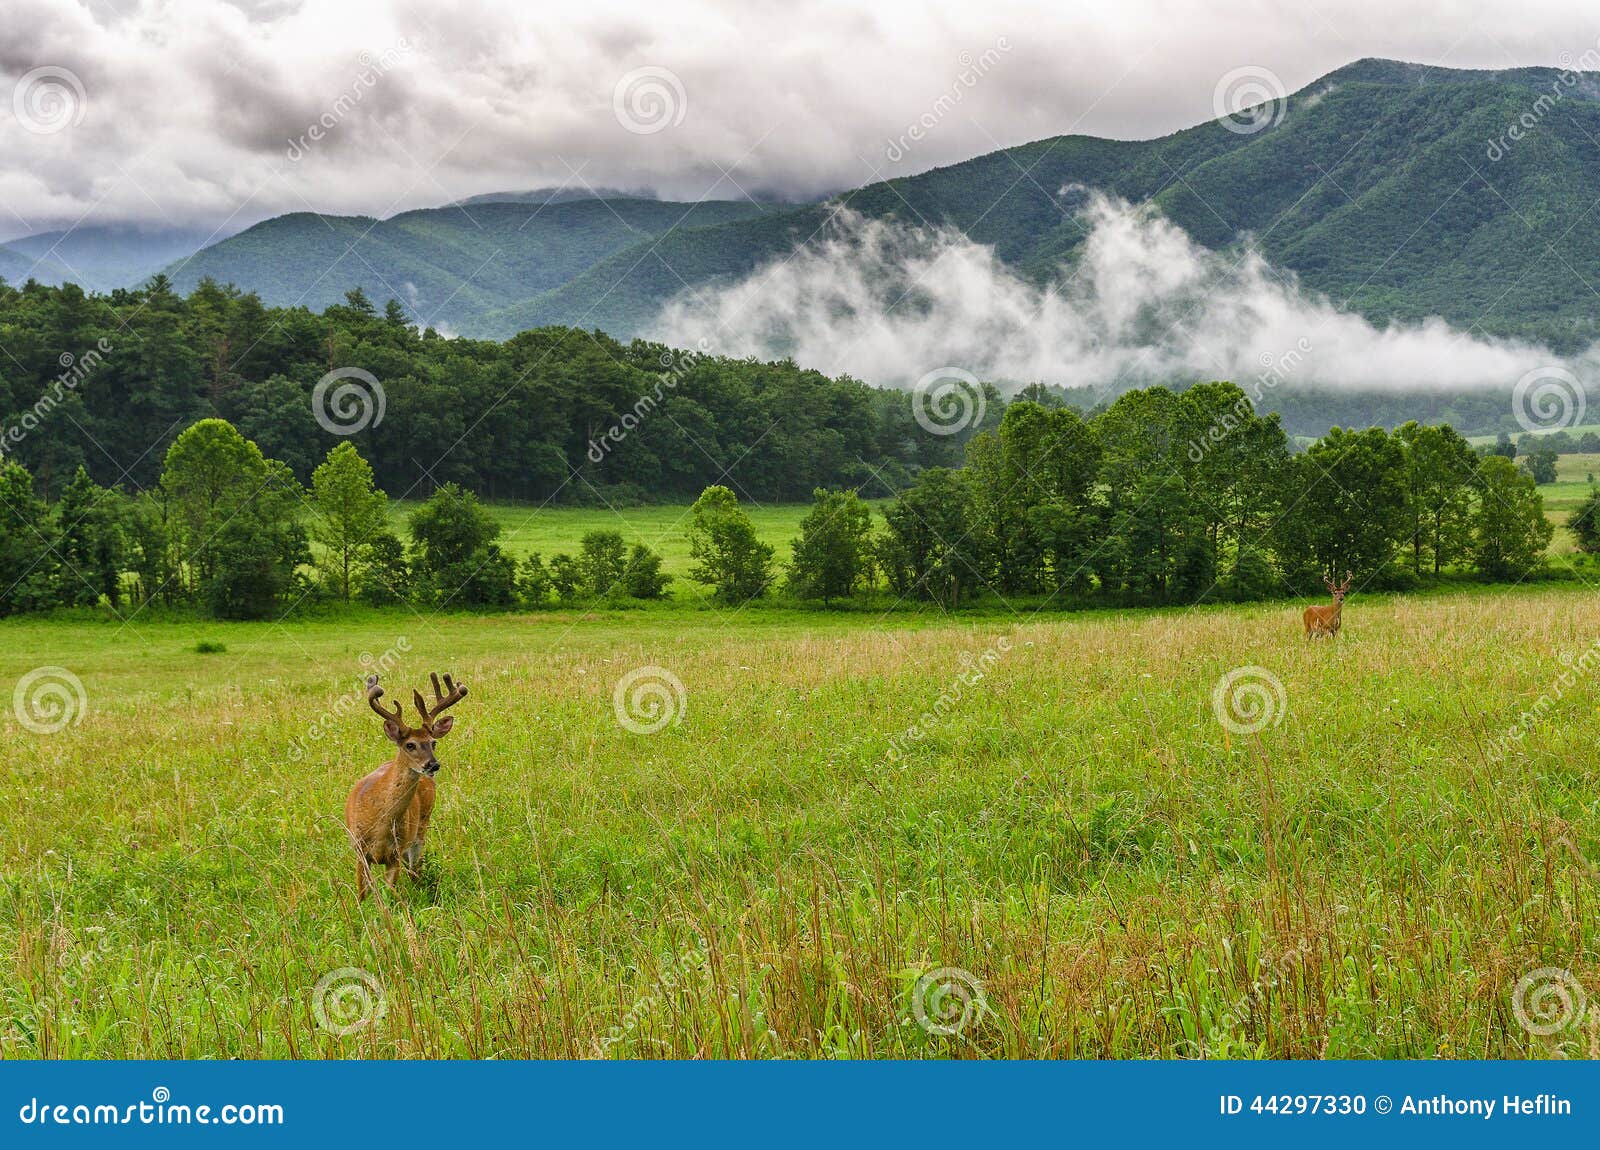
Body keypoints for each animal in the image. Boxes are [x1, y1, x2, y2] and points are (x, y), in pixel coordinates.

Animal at [345, 671, 467, 902]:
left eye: (433, 742)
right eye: (410, 744)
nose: (433, 765)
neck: (380, 825)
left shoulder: (395, 853)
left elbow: (389, 894)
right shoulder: (359, 851)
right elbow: (363, 894)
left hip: (422, 826)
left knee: (415, 870)